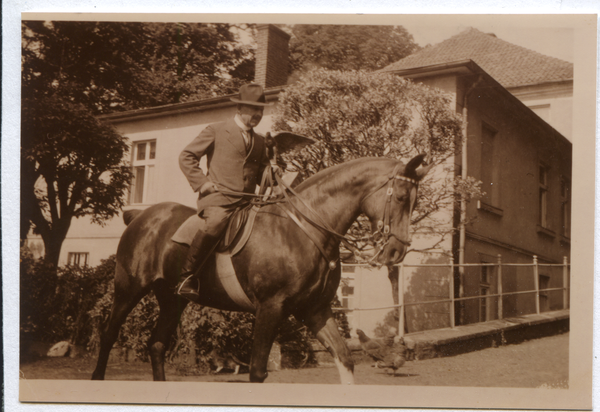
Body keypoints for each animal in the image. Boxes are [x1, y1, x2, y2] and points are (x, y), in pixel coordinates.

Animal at [90, 154, 432, 384]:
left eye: (415, 201)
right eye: (402, 197)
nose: (397, 250)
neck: (304, 228)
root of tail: (140, 217)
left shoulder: (315, 310)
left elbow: (345, 360)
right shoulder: (270, 308)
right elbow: (256, 372)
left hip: (172, 299)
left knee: (157, 344)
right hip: (129, 289)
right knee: (108, 334)